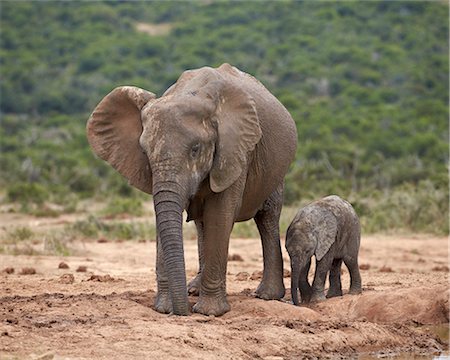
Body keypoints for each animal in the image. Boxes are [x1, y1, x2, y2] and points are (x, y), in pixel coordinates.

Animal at [87, 64, 298, 316]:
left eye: (195, 149)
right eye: (145, 152)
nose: (183, 311)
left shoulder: (235, 151)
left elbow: (220, 214)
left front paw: (209, 312)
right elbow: (166, 216)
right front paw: (164, 307)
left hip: (276, 170)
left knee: (267, 217)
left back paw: (267, 296)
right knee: (201, 223)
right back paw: (194, 290)